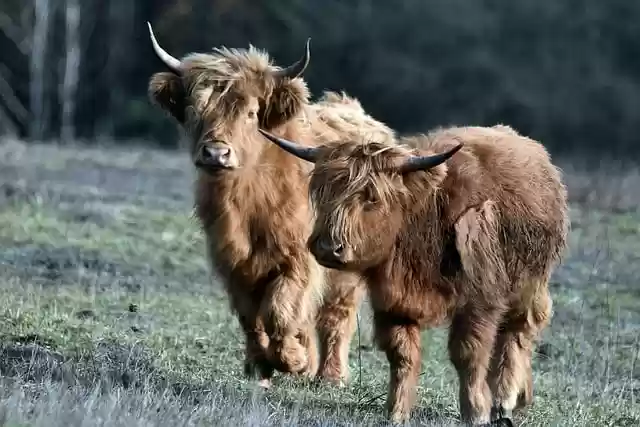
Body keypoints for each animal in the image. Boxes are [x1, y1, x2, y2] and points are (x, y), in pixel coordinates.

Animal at [145, 25, 396, 390]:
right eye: (195, 111)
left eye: (251, 114)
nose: (216, 153)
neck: (247, 203)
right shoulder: (233, 263)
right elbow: (251, 316)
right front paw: (261, 368)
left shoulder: (298, 258)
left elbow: (280, 310)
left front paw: (291, 360)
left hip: (347, 265)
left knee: (336, 314)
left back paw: (330, 375)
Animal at [258, 123, 568, 424]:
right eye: (323, 193)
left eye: (372, 198)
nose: (327, 247)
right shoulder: (392, 303)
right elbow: (402, 356)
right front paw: (397, 411)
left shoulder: (479, 301)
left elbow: (468, 353)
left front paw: (475, 410)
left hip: (529, 286)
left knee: (517, 334)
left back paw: (506, 399)